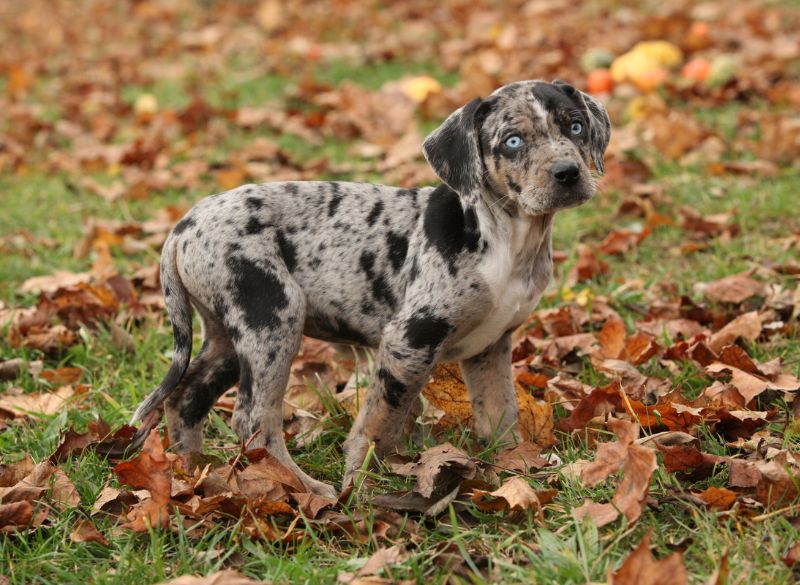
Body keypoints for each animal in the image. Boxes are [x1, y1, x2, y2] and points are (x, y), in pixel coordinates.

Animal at [131, 78, 608, 498]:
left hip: (230, 334)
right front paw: (361, 484)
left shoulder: (489, 348)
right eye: (512, 141)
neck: (509, 241)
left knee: (186, 398)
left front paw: (514, 469)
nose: (568, 173)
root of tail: (182, 227)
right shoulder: (409, 340)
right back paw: (304, 489)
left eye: (575, 127)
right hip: (273, 317)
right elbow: (381, 421)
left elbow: (500, 417)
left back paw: (193, 472)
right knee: (253, 421)